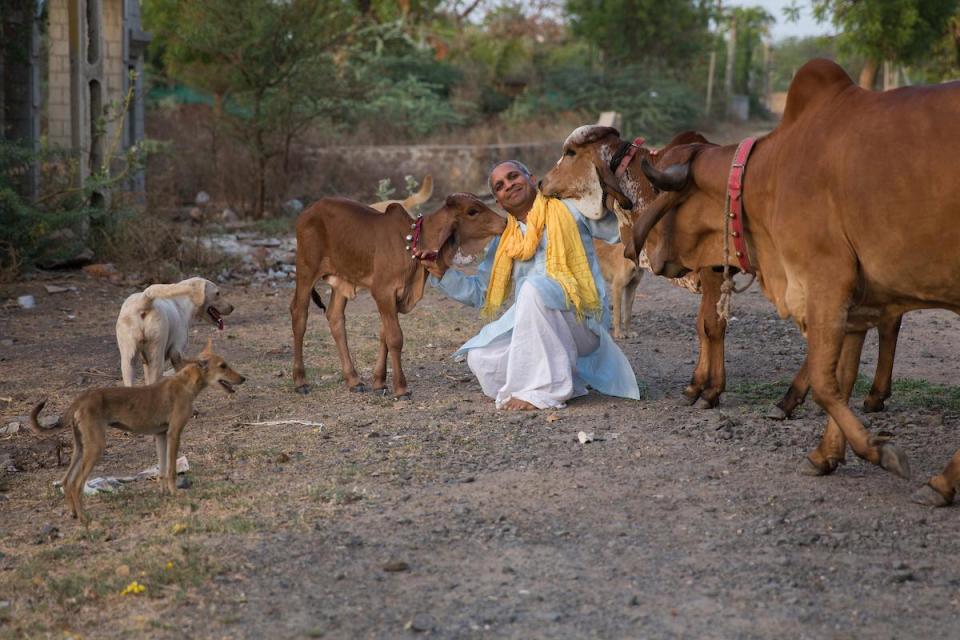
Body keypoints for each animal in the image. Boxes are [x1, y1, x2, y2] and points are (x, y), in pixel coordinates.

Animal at [27, 340, 244, 520]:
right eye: (223, 366)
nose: (243, 378)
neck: (185, 383)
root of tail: (82, 397)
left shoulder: (161, 435)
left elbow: (162, 470)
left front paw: (164, 494)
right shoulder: (174, 434)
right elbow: (171, 470)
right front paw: (175, 493)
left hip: (80, 448)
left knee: (65, 481)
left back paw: (73, 513)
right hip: (96, 447)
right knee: (76, 483)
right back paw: (84, 518)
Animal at [288, 192, 506, 398]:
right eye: (472, 211)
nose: (504, 222)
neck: (412, 242)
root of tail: (307, 212)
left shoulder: (395, 298)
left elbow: (384, 334)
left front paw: (379, 382)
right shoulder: (383, 292)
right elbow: (395, 337)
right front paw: (401, 388)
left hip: (342, 279)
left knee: (335, 317)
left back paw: (353, 380)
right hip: (306, 270)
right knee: (299, 314)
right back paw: (300, 381)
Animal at [632, 58, 960, 504]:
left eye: (663, 195)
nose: (647, 256)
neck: (767, 173)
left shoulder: (825, 281)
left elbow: (824, 382)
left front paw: (880, 450)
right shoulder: (855, 301)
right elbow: (841, 379)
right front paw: (825, 455)